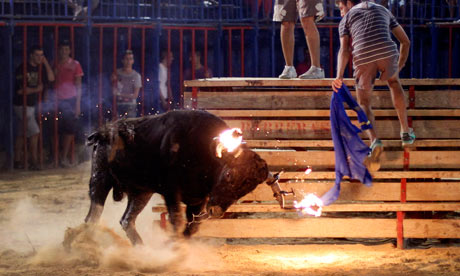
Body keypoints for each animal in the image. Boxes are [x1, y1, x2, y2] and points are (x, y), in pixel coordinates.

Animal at [84, 109, 270, 245]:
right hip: (100, 180)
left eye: (244, 191)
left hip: (141, 193)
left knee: (126, 220)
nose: (216, 211)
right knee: (93, 216)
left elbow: (192, 226)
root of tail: (104, 132)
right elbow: (177, 220)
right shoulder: (171, 192)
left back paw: (141, 248)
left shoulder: (198, 199)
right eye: (229, 174)